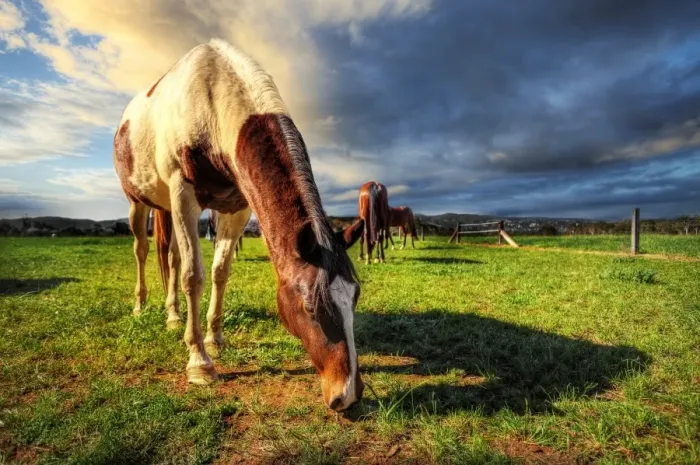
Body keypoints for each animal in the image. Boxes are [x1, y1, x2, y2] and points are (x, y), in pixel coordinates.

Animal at [113, 39, 364, 411]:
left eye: (355, 296)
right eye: (309, 306)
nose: (347, 394)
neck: (212, 100)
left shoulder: (237, 209)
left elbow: (220, 272)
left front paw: (214, 338)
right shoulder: (183, 194)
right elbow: (194, 276)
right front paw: (199, 362)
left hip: (167, 209)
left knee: (170, 256)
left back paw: (173, 316)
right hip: (139, 203)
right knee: (143, 252)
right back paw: (141, 306)